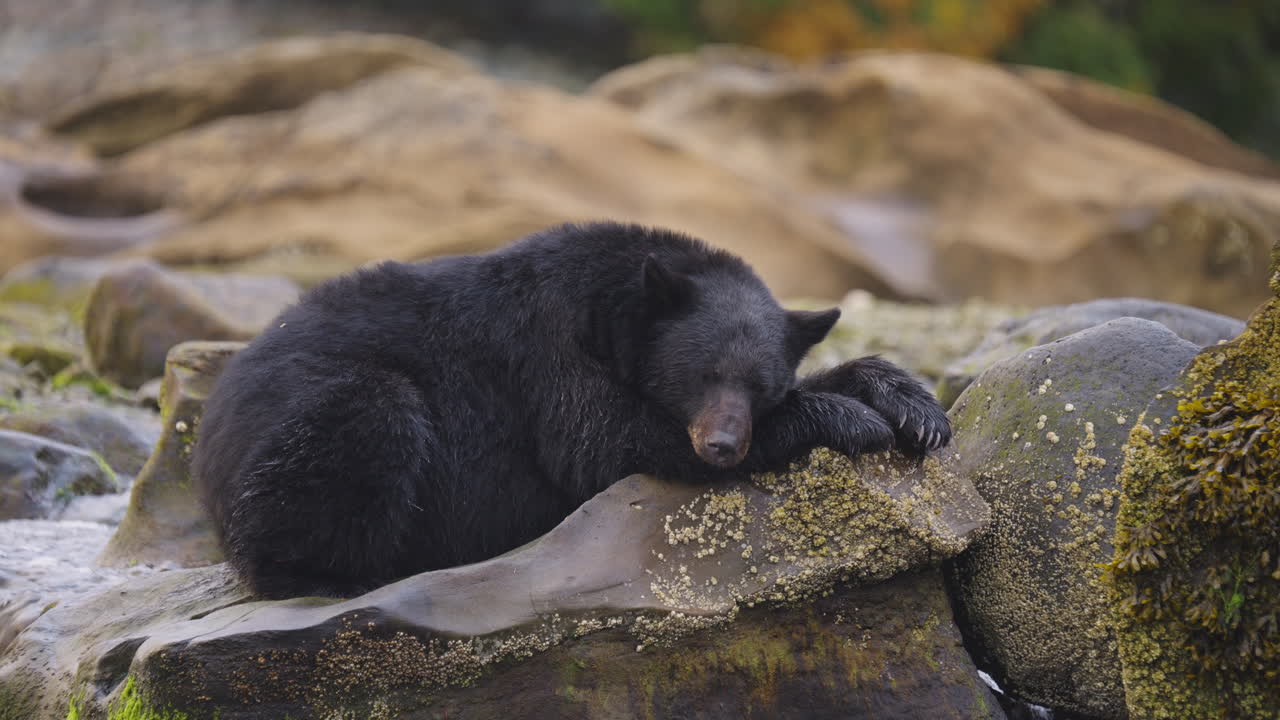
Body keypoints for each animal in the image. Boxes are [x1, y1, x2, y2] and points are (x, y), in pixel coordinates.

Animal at [193, 222, 950, 600]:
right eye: (703, 373)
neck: (615, 302)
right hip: (316, 413)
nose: (721, 446)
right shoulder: (543, 341)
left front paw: (912, 407)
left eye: (760, 385)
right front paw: (847, 418)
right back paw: (341, 574)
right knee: (366, 422)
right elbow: (600, 440)